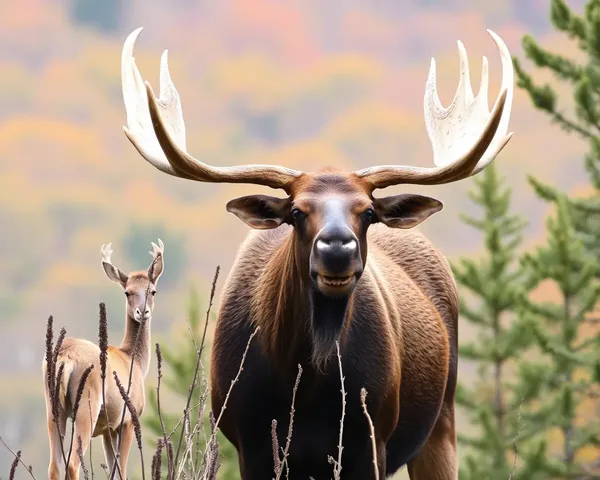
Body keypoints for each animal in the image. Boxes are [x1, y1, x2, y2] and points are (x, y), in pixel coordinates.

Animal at [42, 240, 165, 480]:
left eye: (152, 291)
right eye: (127, 292)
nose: (142, 311)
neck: (134, 360)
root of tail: (65, 357)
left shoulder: (108, 428)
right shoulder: (128, 420)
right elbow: (121, 472)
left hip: (52, 407)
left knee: (54, 466)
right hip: (87, 405)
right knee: (72, 464)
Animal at [119, 27, 512, 480]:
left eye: (368, 211)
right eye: (295, 210)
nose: (337, 247)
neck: (305, 383)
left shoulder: (370, 439)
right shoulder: (251, 443)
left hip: (442, 423)